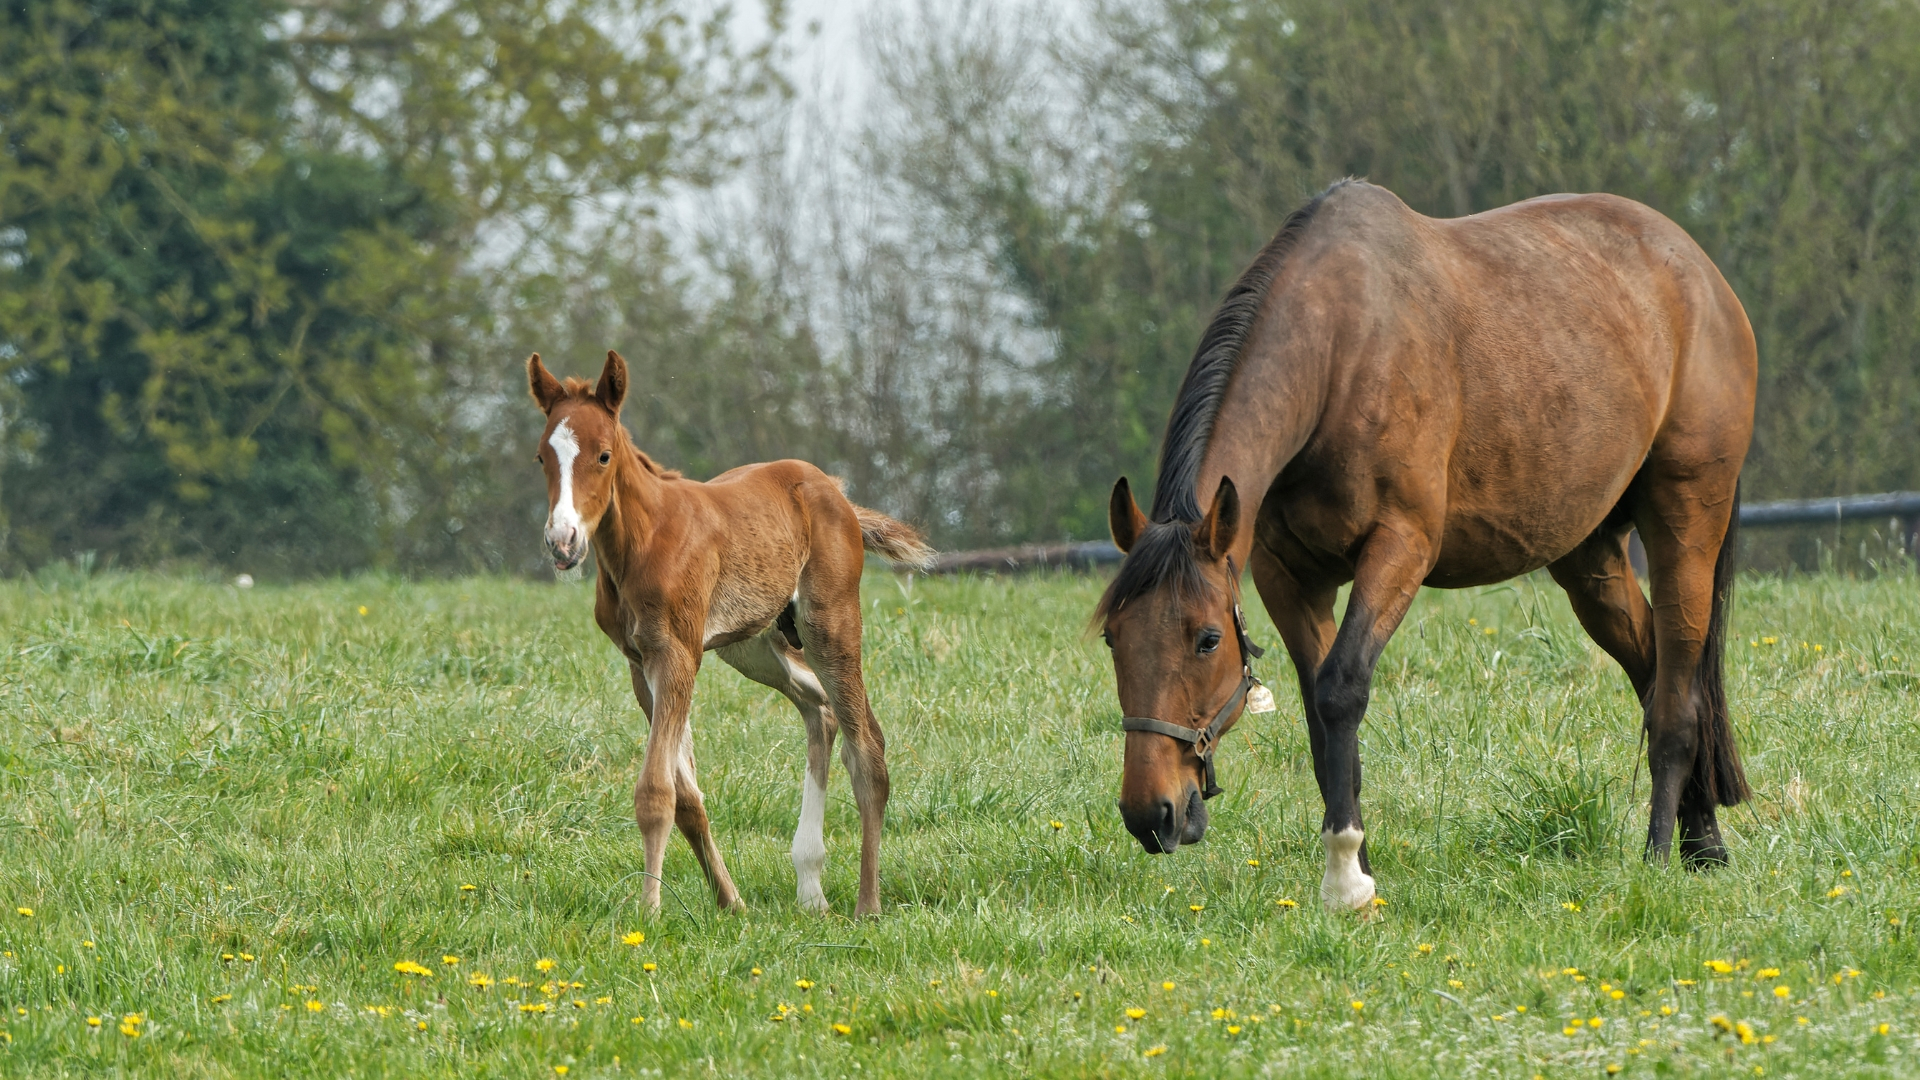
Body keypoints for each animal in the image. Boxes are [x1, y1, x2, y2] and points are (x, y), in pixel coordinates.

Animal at [527, 350, 933, 916]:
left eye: (604, 456)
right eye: (542, 458)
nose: (562, 542)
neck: (643, 541)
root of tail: (835, 490)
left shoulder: (677, 654)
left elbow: (656, 792)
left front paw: (649, 911)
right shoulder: (641, 664)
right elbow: (686, 797)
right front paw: (730, 902)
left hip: (828, 624)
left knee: (866, 746)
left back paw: (866, 906)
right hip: (757, 645)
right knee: (822, 711)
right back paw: (810, 886)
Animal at [1095, 179, 1755, 910]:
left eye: (1208, 640)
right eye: (1113, 638)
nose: (1150, 812)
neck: (1340, 351)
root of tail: (1701, 273)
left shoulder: (1400, 547)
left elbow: (1341, 690)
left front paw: (1345, 876)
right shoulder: (1287, 576)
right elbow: (1321, 719)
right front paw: (1357, 863)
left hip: (1686, 519)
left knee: (1678, 695)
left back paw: (1660, 856)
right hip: (1590, 558)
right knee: (1654, 669)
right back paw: (1703, 839)